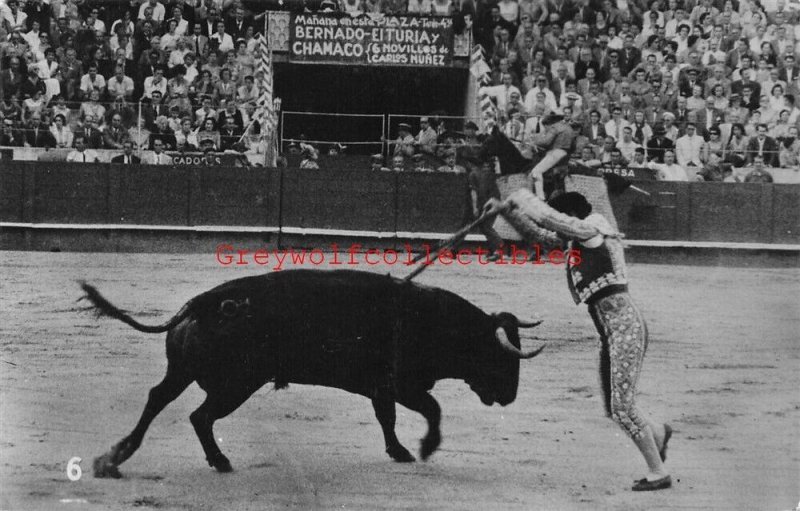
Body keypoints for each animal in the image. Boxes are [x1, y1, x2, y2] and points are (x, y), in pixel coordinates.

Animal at [81, 270, 544, 478]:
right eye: (503, 358)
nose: (510, 396)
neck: (431, 320)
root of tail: (205, 301)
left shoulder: (381, 389)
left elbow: (387, 419)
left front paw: (398, 451)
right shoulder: (403, 385)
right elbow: (431, 409)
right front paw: (424, 448)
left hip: (185, 371)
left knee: (159, 398)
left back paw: (114, 458)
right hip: (236, 384)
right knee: (201, 416)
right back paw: (220, 461)